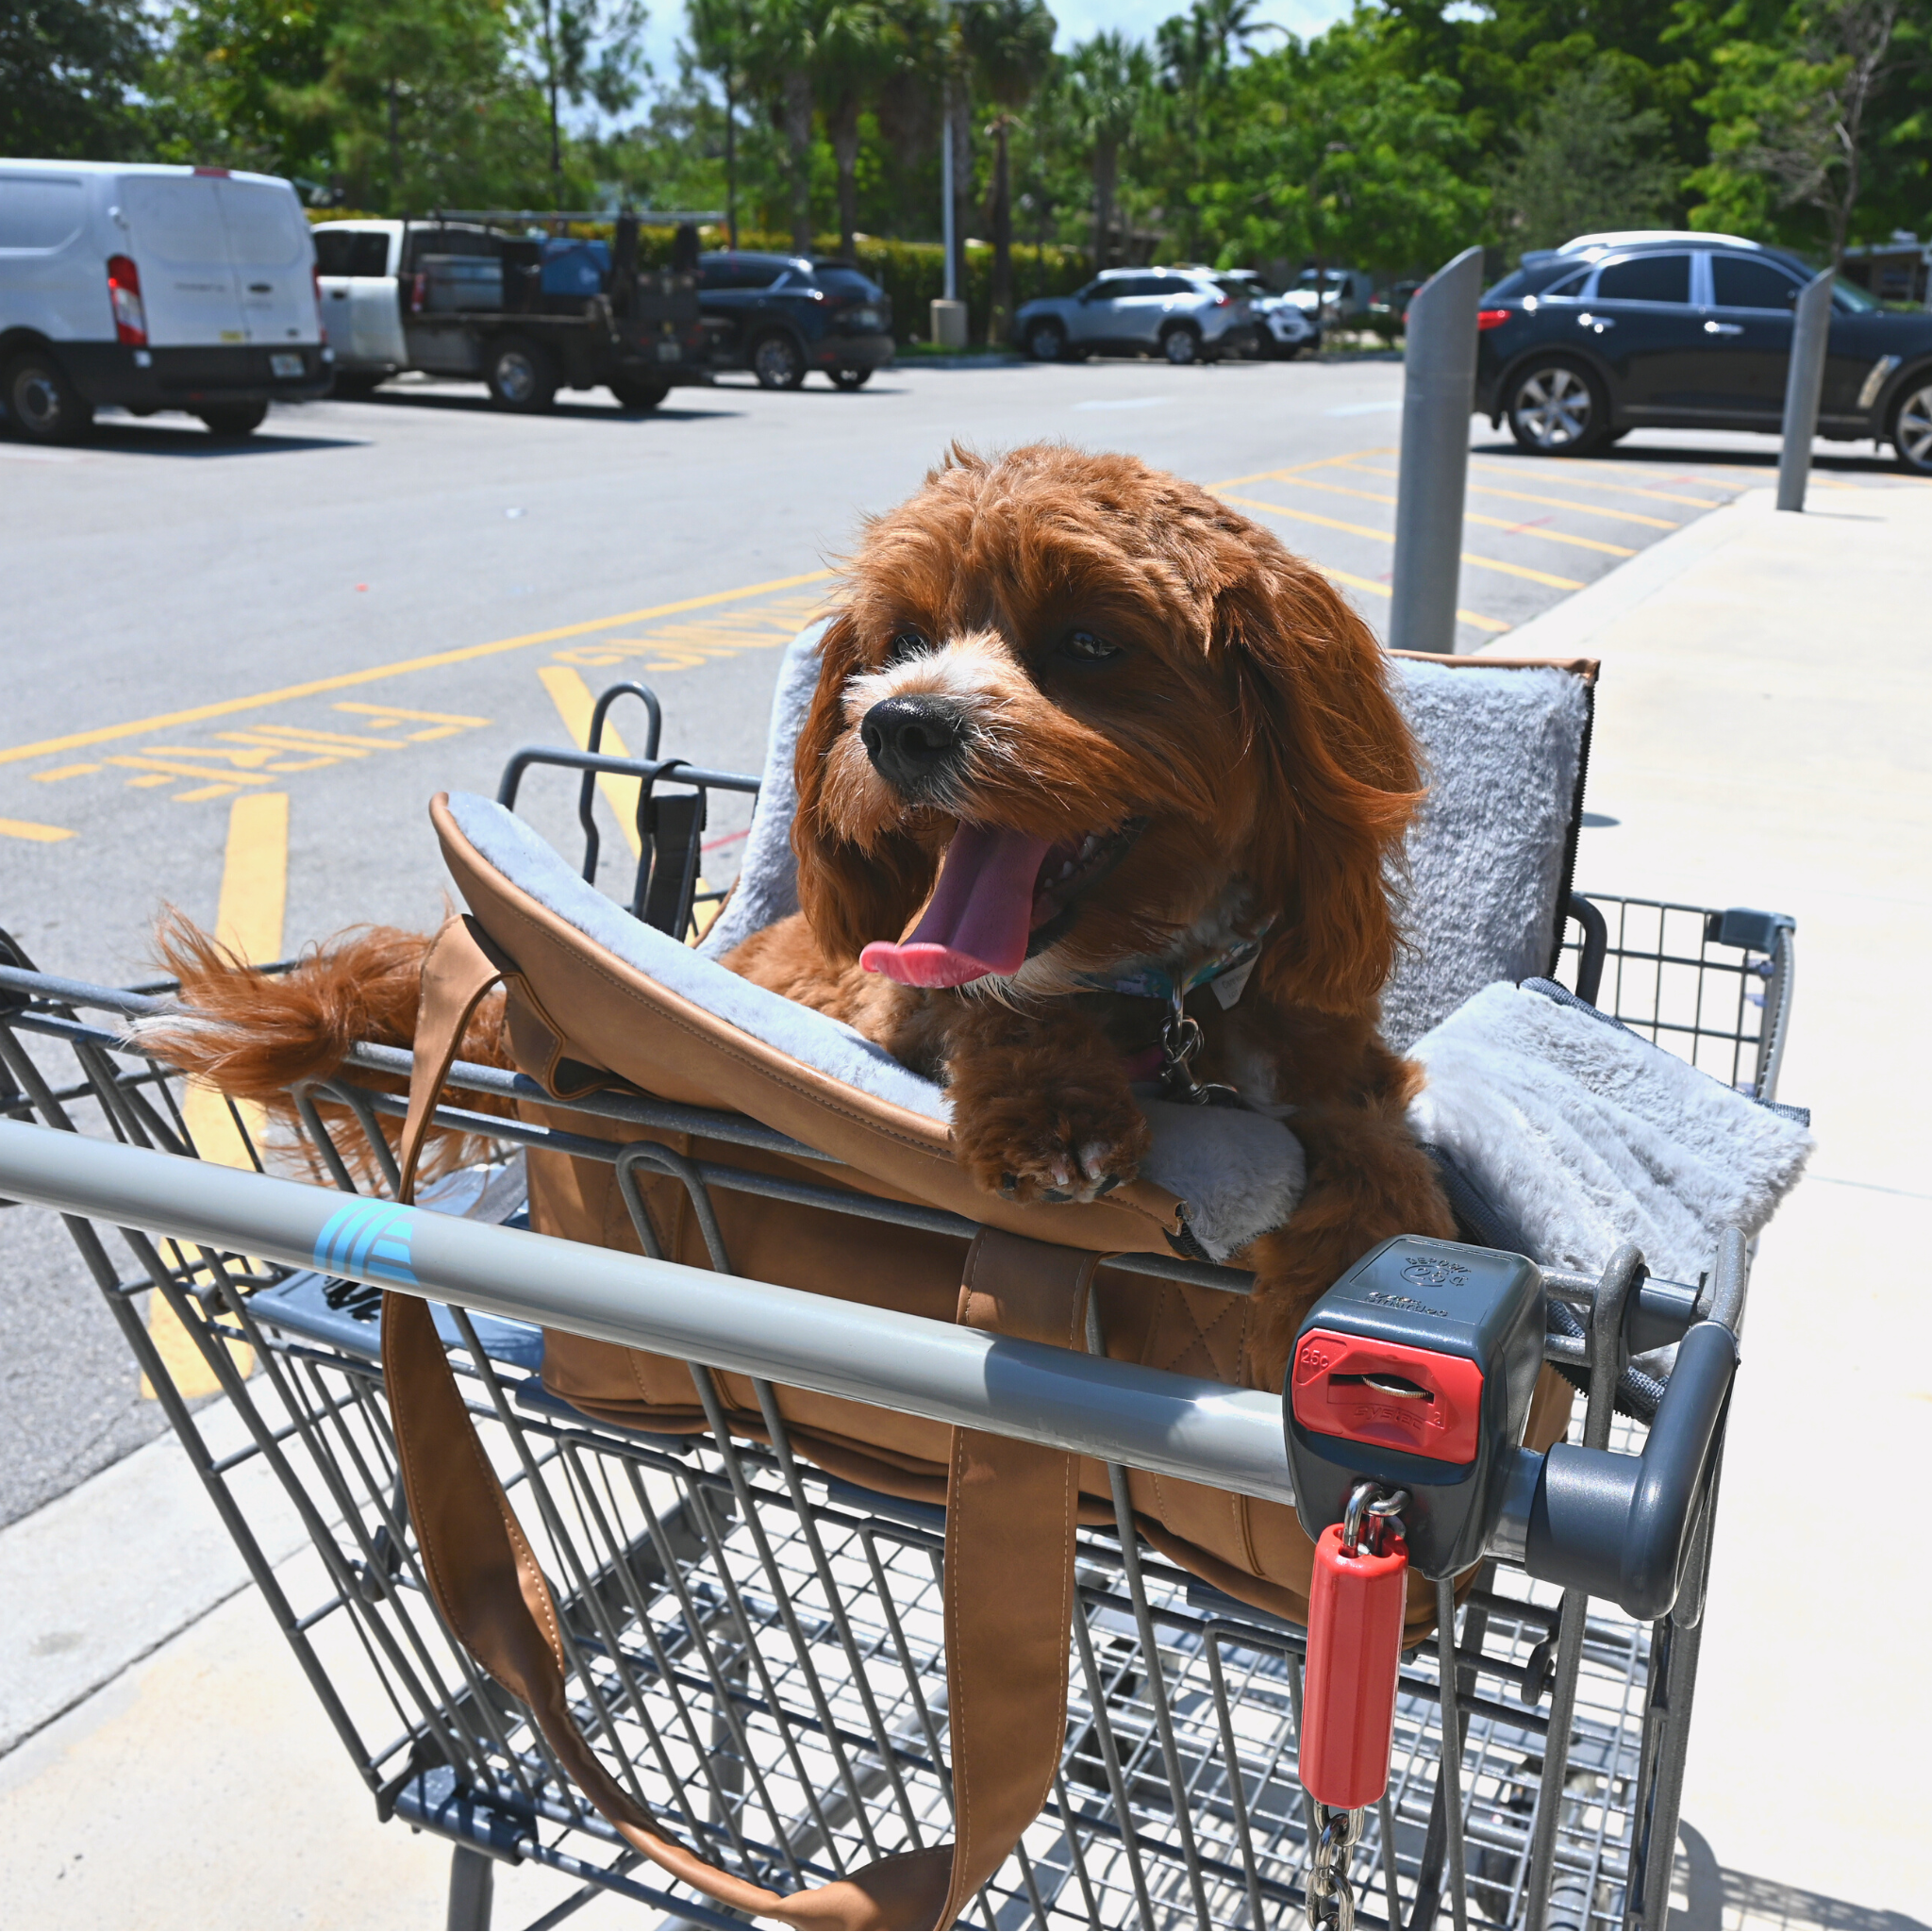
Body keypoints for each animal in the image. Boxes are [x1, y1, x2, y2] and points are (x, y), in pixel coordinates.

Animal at [150, 444, 1453, 1391]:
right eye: (902, 639)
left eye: (1089, 641)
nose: (901, 723)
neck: (1154, 990)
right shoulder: (891, 995)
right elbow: (985, 1008)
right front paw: (1051, 1103)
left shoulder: (1322, 1046)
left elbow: (1372, 1135)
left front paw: (1366, 1244)